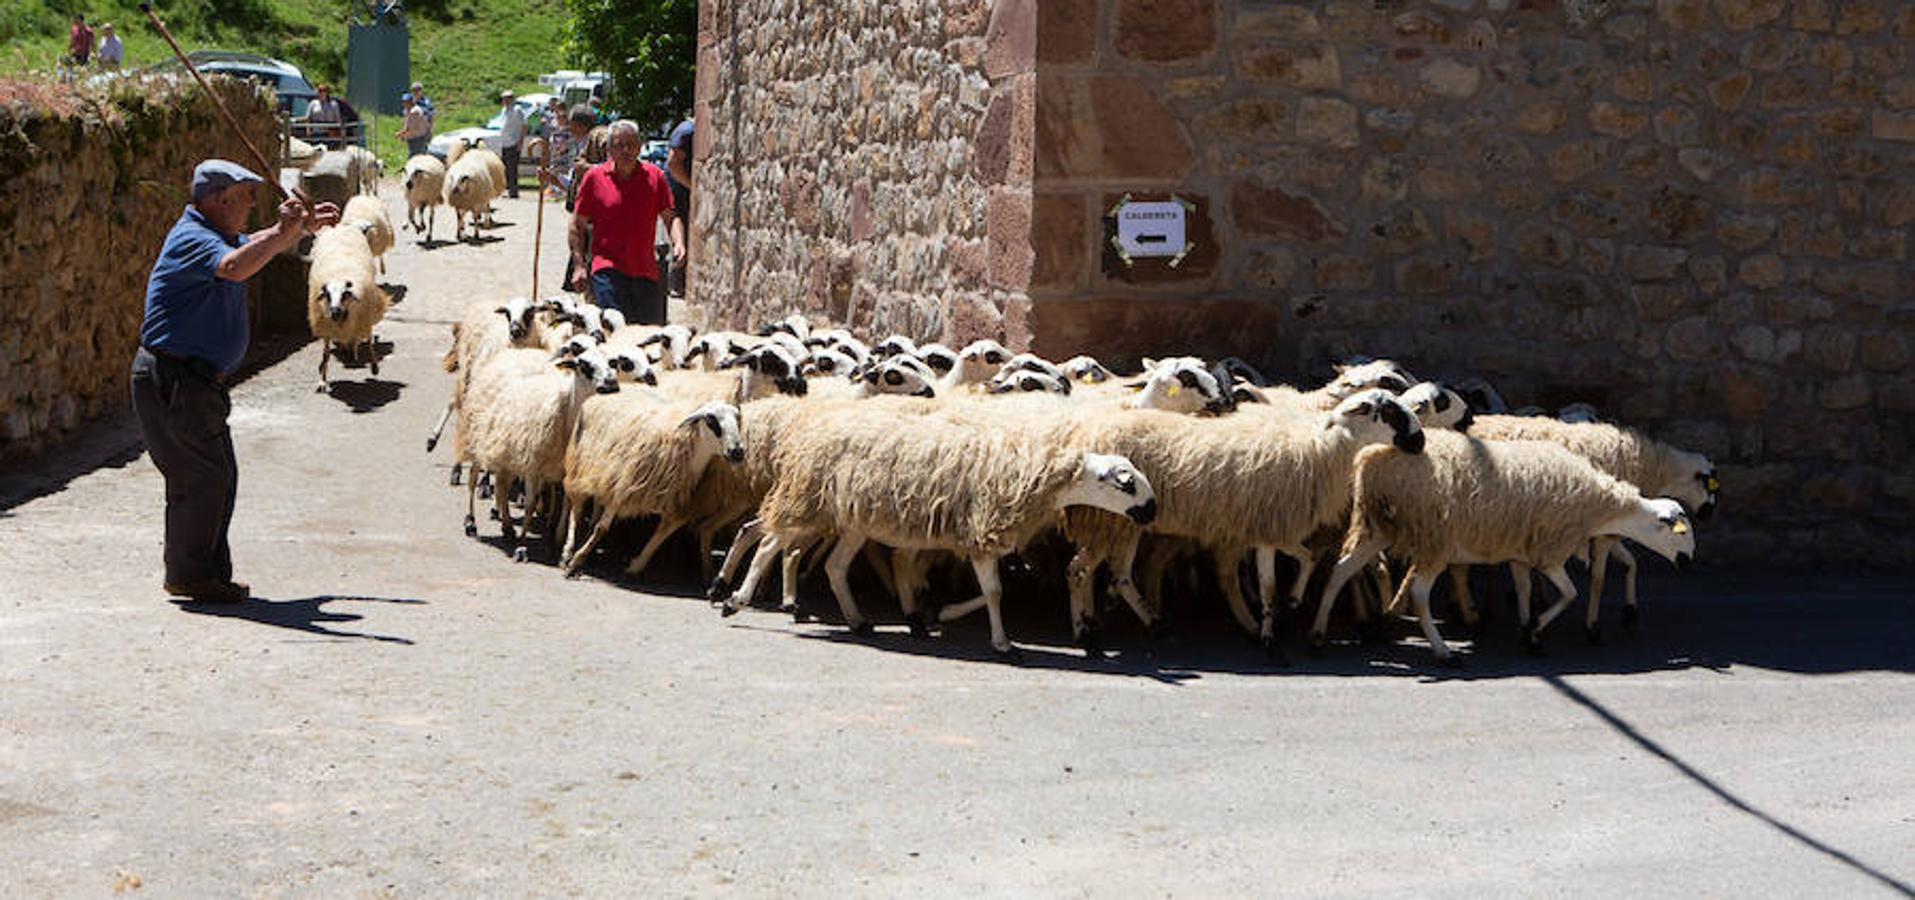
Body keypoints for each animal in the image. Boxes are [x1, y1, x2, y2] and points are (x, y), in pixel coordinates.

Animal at [306, 221, 388, 390]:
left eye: (345, 294)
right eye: (327, 295)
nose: (335, 311)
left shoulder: (363, 316)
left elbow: (368, 341)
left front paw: (373, 366)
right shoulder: (326, 325)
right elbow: (325, 354)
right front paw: (322, 380)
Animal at [1309, 428, 1700, 662]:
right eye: (1681, 533)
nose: (1689, 562)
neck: (1598, 506)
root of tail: (1370, 460)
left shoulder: (1520, 550)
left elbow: (1526, 590)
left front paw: (1529, 633)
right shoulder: (1549, 550)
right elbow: (1570, 593)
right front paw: (1535, 629)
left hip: (1380, 528)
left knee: (1340, 570)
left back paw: (1319, 633)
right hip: (1435, 536)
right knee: (1419, 592)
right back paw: (1442, 651)